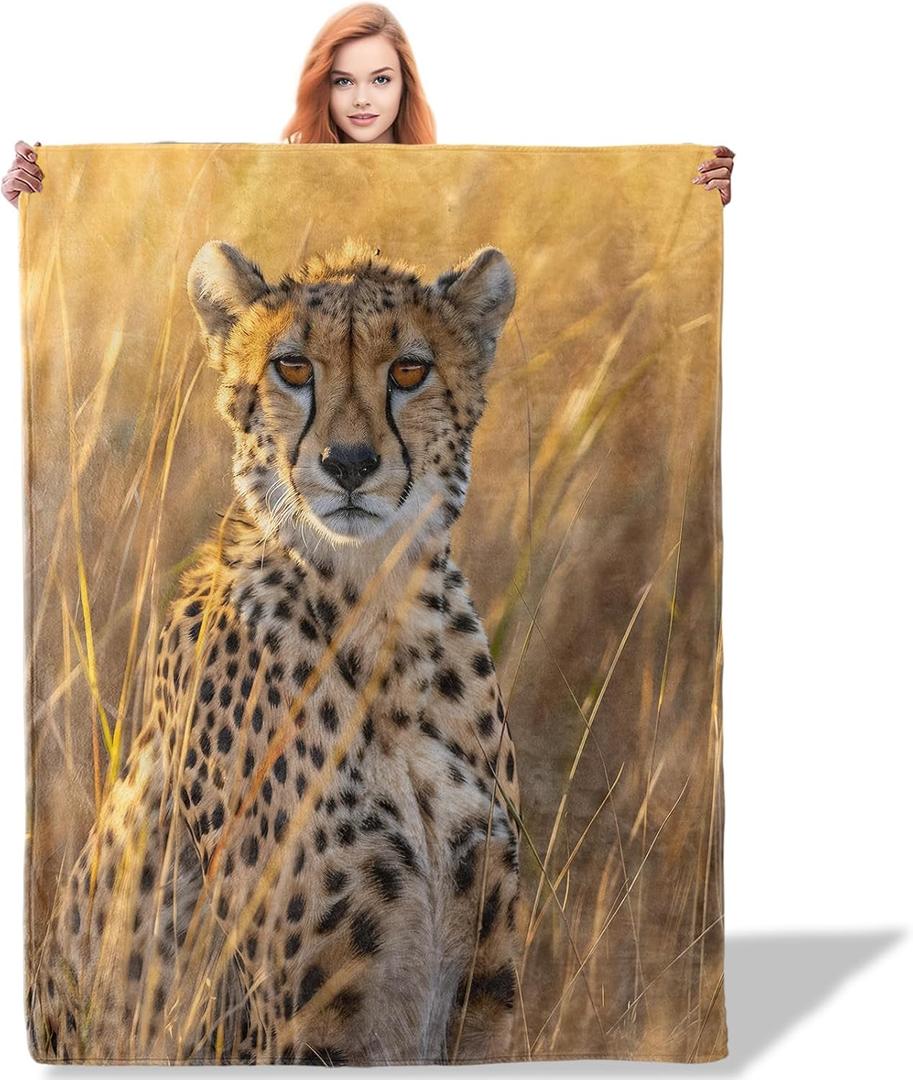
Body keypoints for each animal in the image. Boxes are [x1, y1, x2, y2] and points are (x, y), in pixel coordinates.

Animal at [27, 235, 521, 1065]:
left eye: (408, 370)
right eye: (293, 367)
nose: (348, 463)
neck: (377, 615)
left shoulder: (484, 996)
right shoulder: (301, 1022)